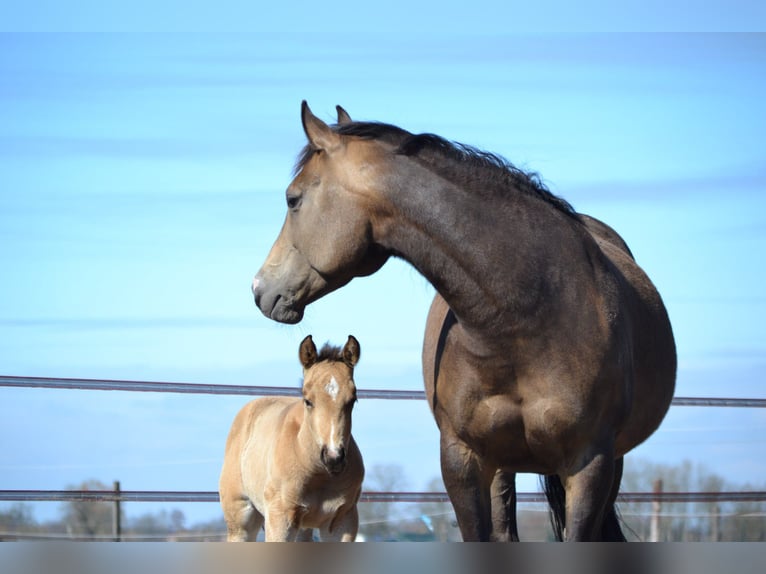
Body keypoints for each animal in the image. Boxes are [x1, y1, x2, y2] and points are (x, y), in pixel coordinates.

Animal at [218, 334, 365, 541]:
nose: (333, 457)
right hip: (241, 521)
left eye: (352, 400)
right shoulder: (280, 517)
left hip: (303, 528)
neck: (319, 474)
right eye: (308, 400)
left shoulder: (343, 520)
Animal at [251, 102, 676, 541]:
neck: (526, 320)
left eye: (293, 199)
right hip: (504, 465)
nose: (259, 288)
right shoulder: (462, 459)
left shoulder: (590, 462)